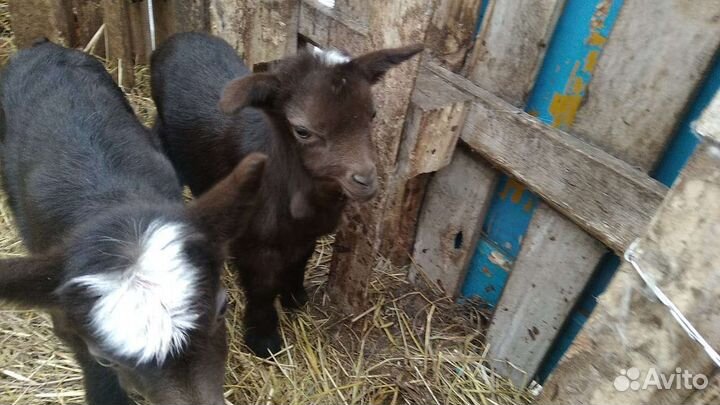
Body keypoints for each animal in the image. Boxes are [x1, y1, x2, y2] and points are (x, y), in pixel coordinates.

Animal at [151, 32, 423, 356]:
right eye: (302, 130)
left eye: (372, 114)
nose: (365, 180)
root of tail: (179, 38)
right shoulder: (255, 243)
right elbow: (262, 289)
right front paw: (263, 339)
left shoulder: (306, 232)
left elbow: (300, 260)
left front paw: (295, 297)